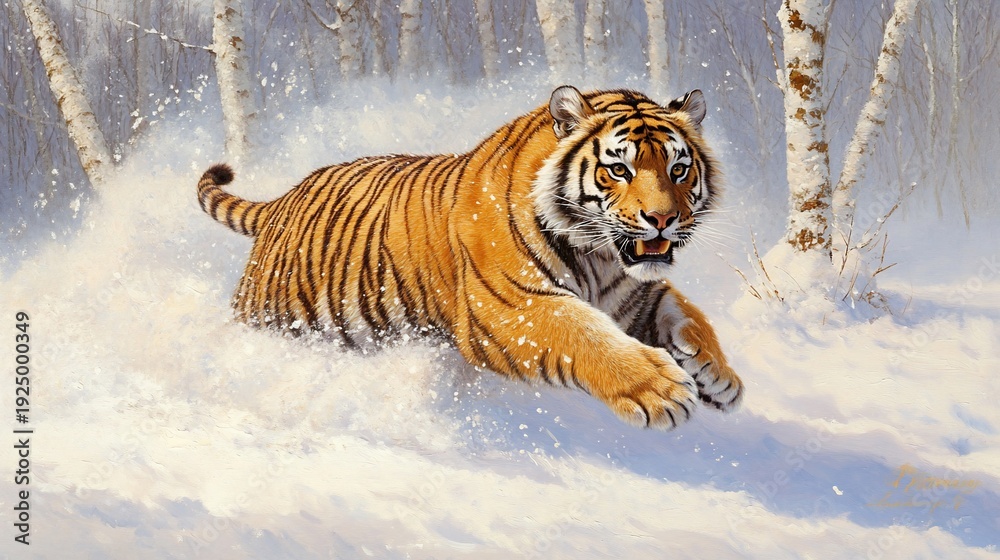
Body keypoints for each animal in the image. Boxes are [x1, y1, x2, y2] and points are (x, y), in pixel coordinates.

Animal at [197, 86, 744, 429]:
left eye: (678, 169)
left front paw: (720, 379)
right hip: (270, 314)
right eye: (618, 169)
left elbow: (687, 313)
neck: (602, 258)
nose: (662, 219)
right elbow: (583, 333)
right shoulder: (511, 310)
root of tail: (281, 200)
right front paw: (660, 389)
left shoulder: (633, 297)